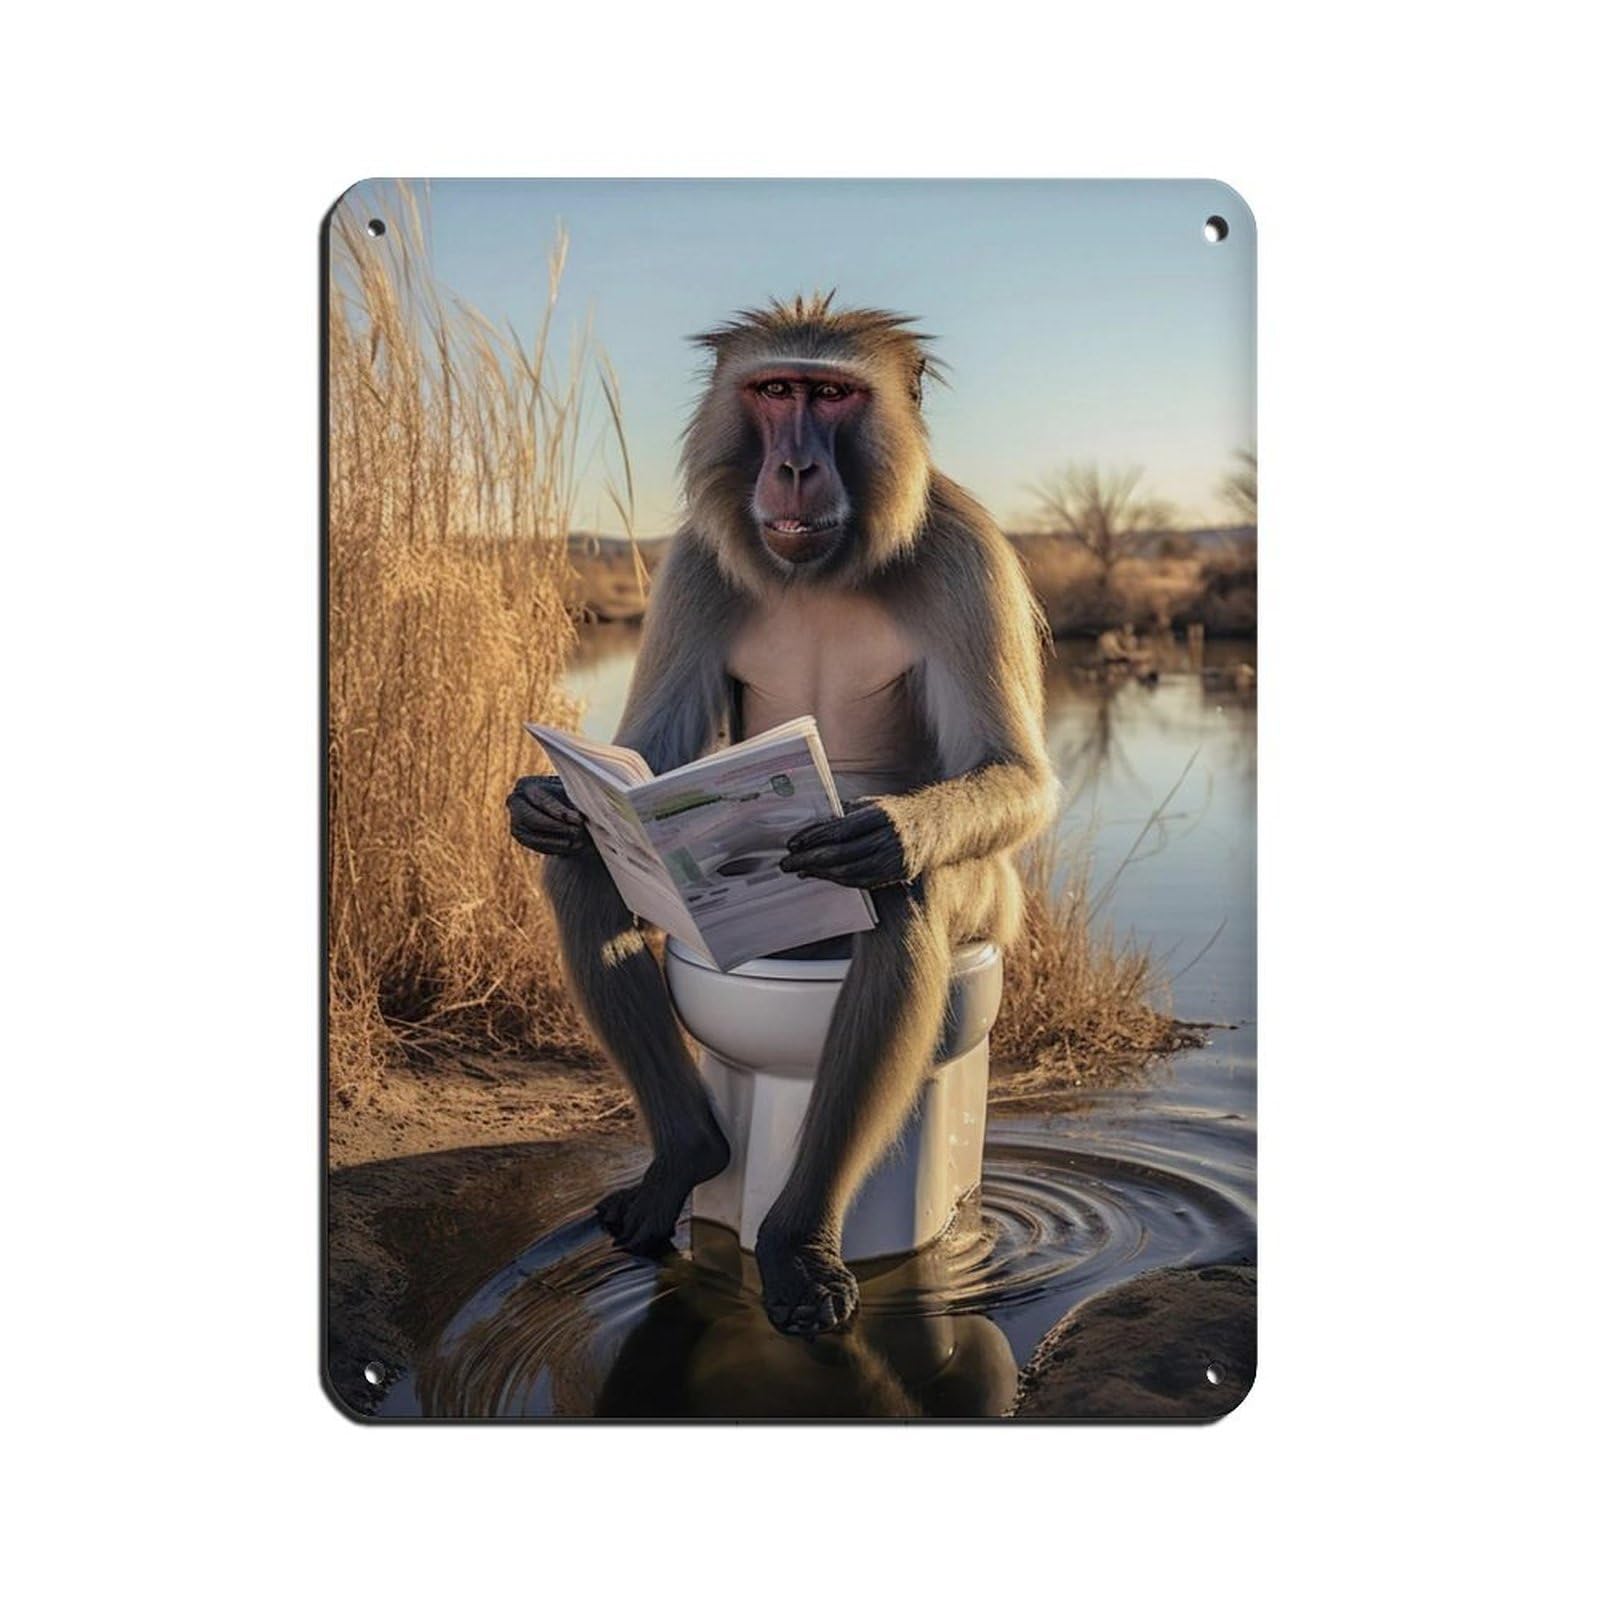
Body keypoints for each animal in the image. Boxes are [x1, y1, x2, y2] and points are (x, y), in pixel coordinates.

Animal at [509, 295, 1054, 1336]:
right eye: (774, 391)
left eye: (831, 395)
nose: (796, 465)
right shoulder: (691, 562)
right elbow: (644, 756)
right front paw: (546, 802)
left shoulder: (967, 551)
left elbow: (1016, 774)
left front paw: (887, 831)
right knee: (590, 868)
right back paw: (687, 1156)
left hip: (976, 917)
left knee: (908, 900)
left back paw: (796, 1242)